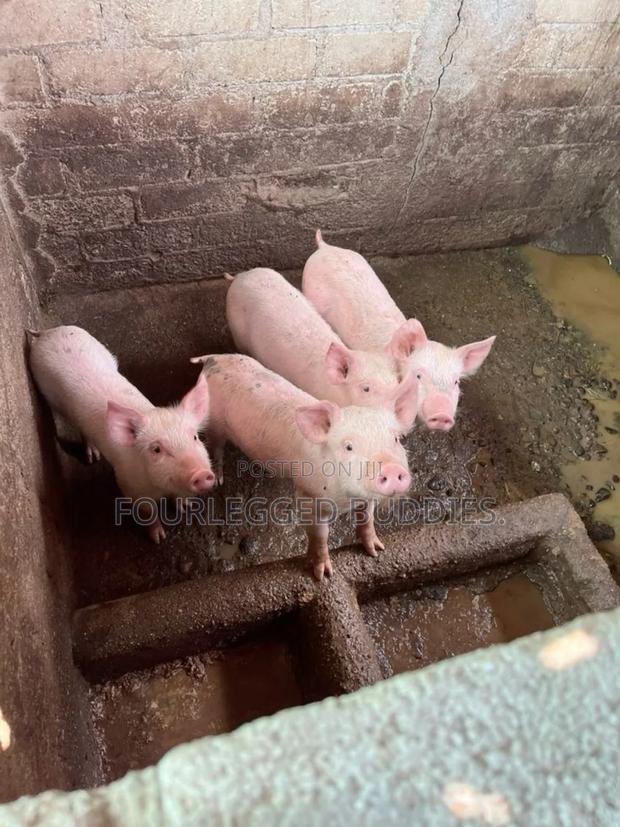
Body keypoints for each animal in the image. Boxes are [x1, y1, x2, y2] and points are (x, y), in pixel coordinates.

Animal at [29, 325, 214, 542]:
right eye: (156, 449)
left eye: (195, 437)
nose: (202, 474)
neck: (159, 488)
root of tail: (47, 332)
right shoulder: (128, 485)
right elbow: (147, 512)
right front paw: (158, 538)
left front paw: (185, 508)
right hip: (49, 395)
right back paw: (92, 457)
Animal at [190, 354, 418, 580]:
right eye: (348, 446)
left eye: (396, 439)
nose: (391, 468)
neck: (346, 500)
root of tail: (211, 360)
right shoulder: (307, 496)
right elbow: (320, 535)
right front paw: (323, 575)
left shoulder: (367, 498)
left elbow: (367, 519)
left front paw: (377, 550)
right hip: (214, 424)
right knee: (215, 447)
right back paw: (218, 479)